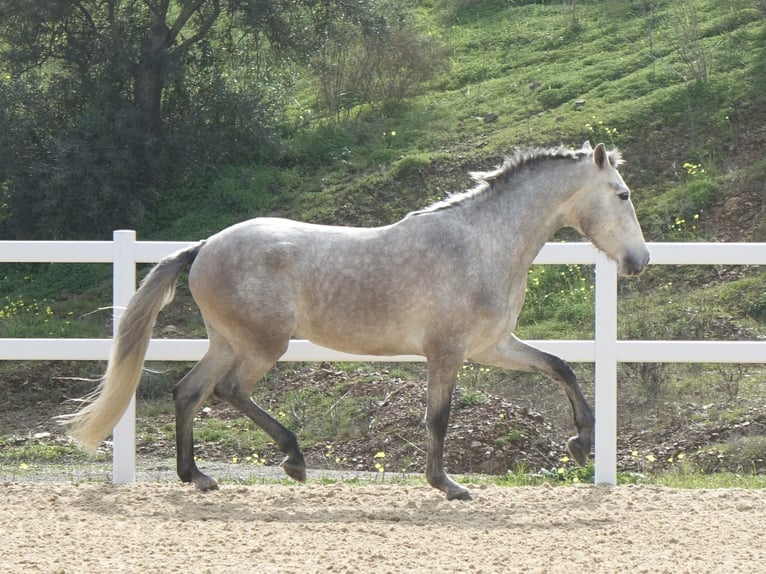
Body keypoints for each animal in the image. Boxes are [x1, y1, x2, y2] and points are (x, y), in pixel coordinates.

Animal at [66, 141, 650, 500]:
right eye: (623, 194)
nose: (640, 261)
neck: (482, 244)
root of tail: (205, 245)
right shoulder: (447, 351)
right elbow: (439, 417)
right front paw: (446, 484)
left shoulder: (492, 345)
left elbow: (560, 366)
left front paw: (581, 442)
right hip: (261, 346)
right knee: (228, 391)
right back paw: (293, 459)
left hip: (227, 342)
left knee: (189, 391)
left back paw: (198, 476)